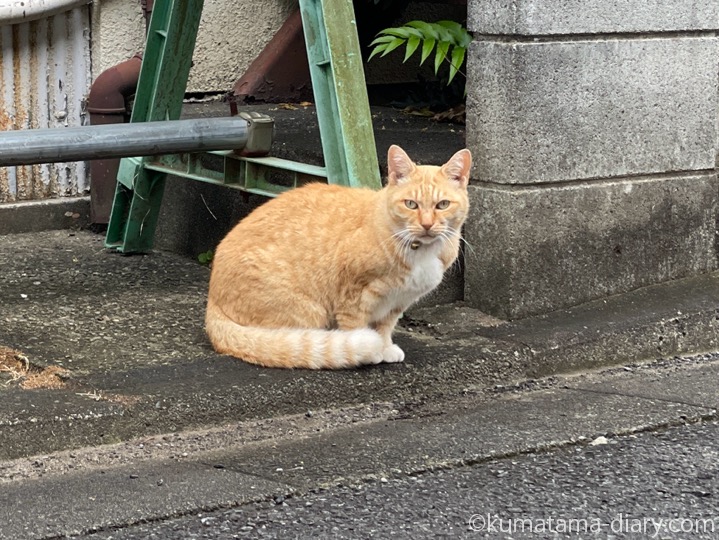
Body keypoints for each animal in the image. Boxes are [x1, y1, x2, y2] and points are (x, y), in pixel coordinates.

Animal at [204, 146, 472, 370]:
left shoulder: (397, 303)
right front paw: (369, 351)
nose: (426, 225)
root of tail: (212, 301)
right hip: (308, 311)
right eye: (411, 204)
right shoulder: (353, 295)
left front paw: (384, 347)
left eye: (442, 204)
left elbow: (385, 328)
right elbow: (357, 328)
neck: (418, 250)